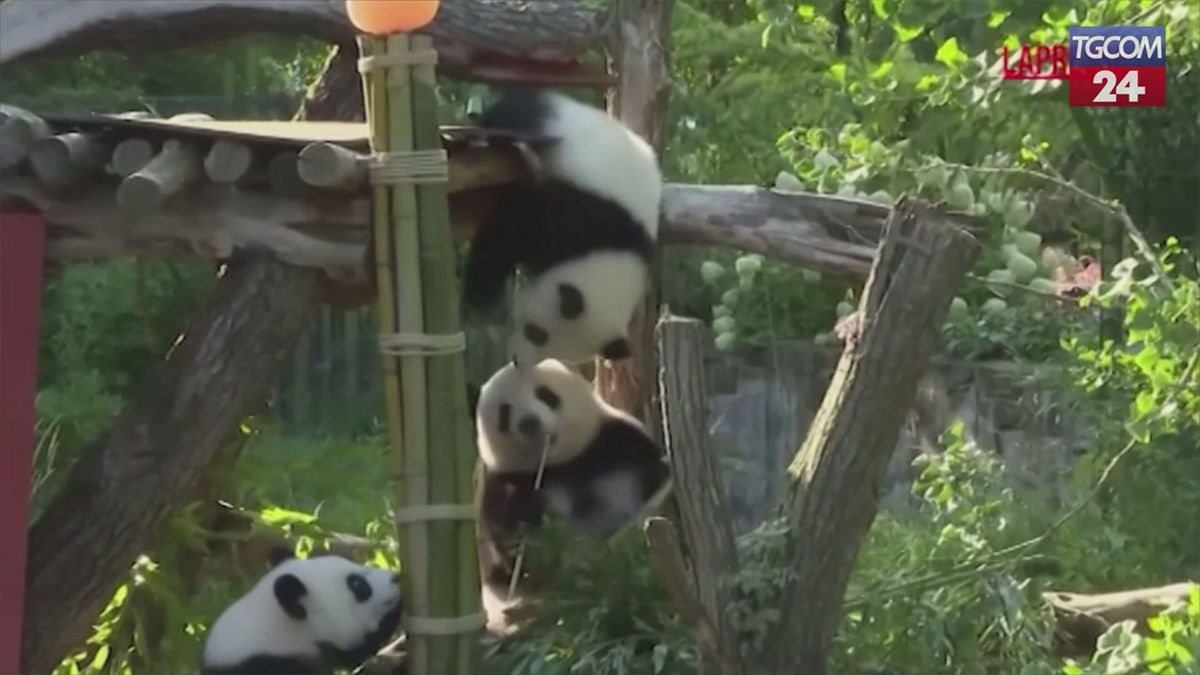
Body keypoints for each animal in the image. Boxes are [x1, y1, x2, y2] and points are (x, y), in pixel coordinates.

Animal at [463, 89, 663, 370]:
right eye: (536, 332)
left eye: (553, 353)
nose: (517, 360)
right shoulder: (571, 213)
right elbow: (506, 235)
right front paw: (480, 296)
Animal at [470, 359, 672, 622]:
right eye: (505, 412)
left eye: (544, 394)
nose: (529, 423)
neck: (560, 464)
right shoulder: (501, 484)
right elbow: (517, 554)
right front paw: (527, 506)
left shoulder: (618, 443)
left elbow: (654, 481)